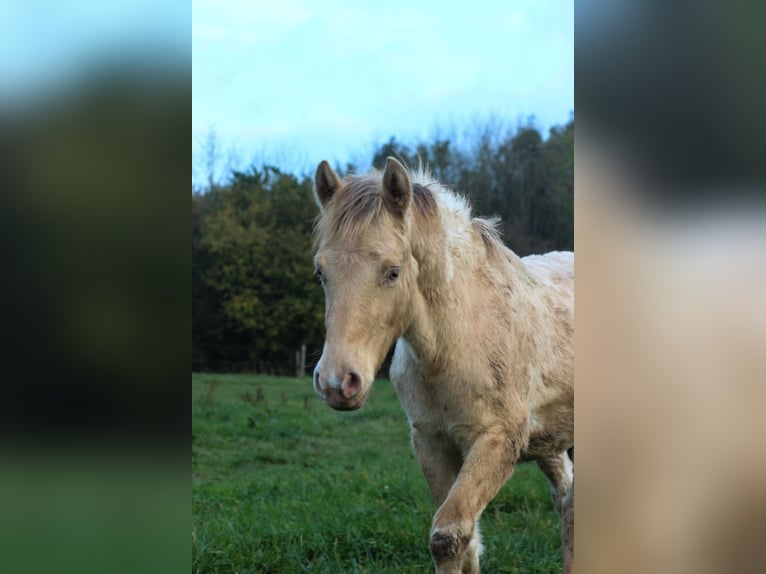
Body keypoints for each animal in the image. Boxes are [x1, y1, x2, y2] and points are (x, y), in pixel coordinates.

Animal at [314, 159, 576, 574]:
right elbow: (464, 543)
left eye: (393, 271)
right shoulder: (431, 442)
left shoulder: (497, 442)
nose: (338, 382)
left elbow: (449, 535)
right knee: (566, 500)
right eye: (321, 272)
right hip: (550, 441)